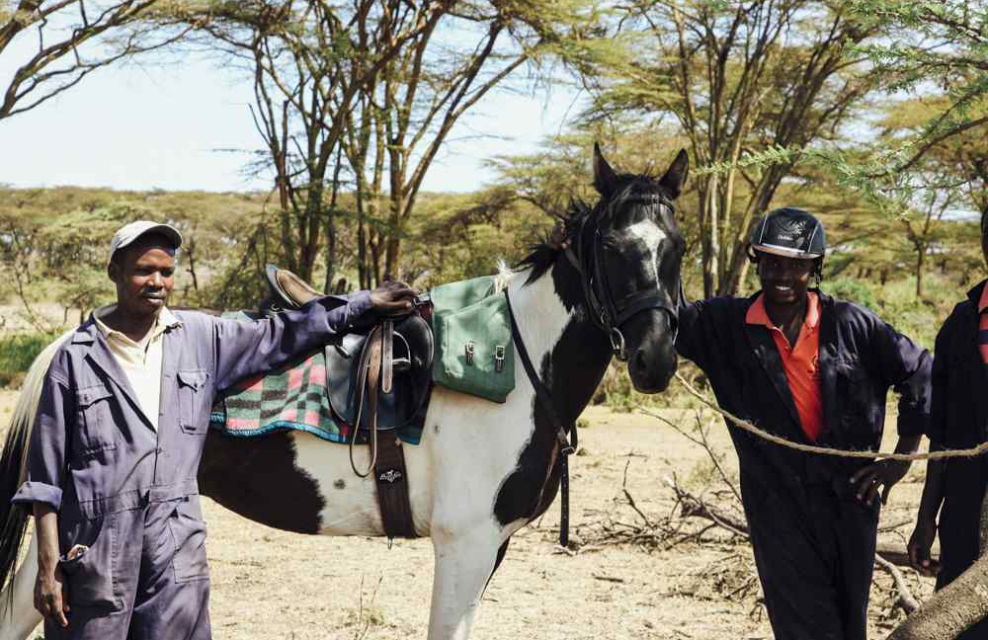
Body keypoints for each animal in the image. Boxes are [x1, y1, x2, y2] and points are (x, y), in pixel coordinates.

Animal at [0, 144, 688, 640]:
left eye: (675, 246)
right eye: (611, 246)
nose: (655, 359)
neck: (515, 361)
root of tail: (74, 343)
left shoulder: (492, 546)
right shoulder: (464, 544)